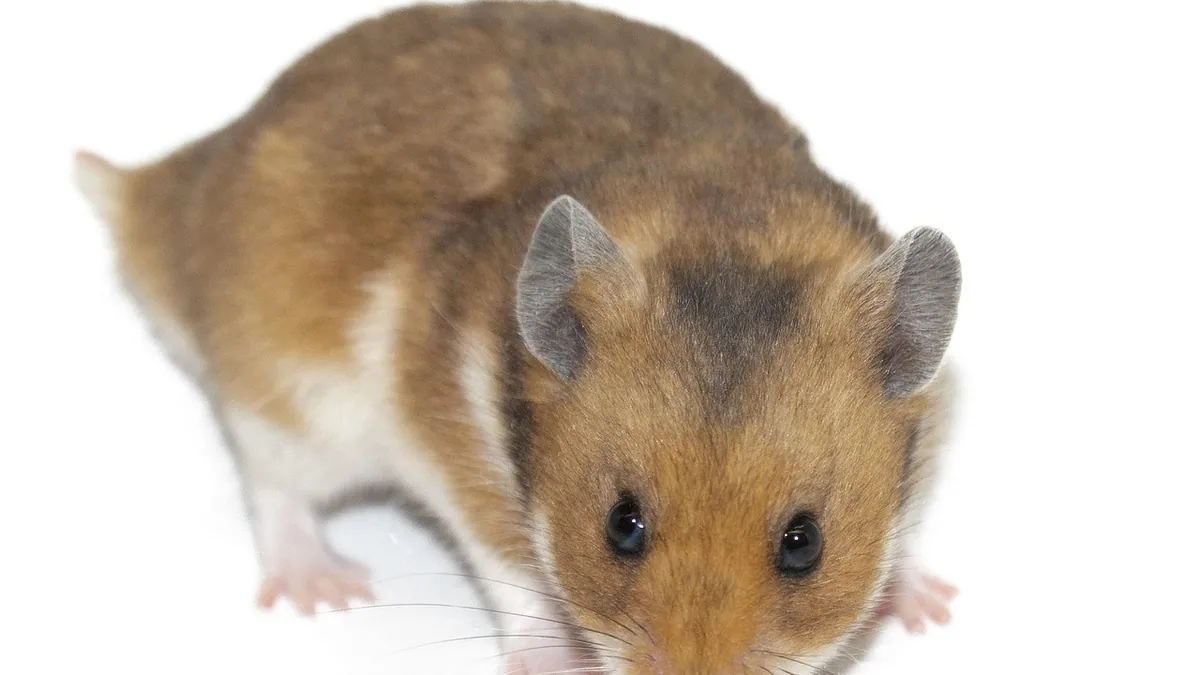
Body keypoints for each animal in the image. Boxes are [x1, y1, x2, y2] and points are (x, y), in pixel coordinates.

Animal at [74, 2, 962, 674]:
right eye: (621, 525)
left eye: (804, 544)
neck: (716, 216)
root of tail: (170, 191)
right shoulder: (452, 443)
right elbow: (511, 567)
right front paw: (554, 660)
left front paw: (932, 608)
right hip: (289, 397)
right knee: (271, 488)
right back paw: (326, 588)